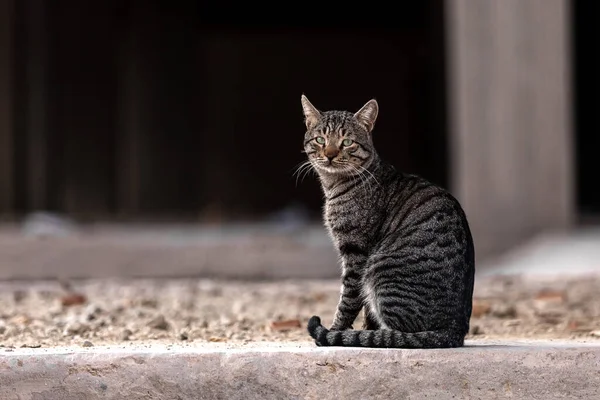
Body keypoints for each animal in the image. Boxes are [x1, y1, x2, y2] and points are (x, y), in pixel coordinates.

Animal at [300, 95, 474, 348]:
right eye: (320, 139)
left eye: (347, 142)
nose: (330, 154)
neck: (334, 185)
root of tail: (455, 330)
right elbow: (366, 309)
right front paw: (363, 330)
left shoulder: (355, 252)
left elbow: (348, 300)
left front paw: (335, 331)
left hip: (379, 270)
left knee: (398, 332)